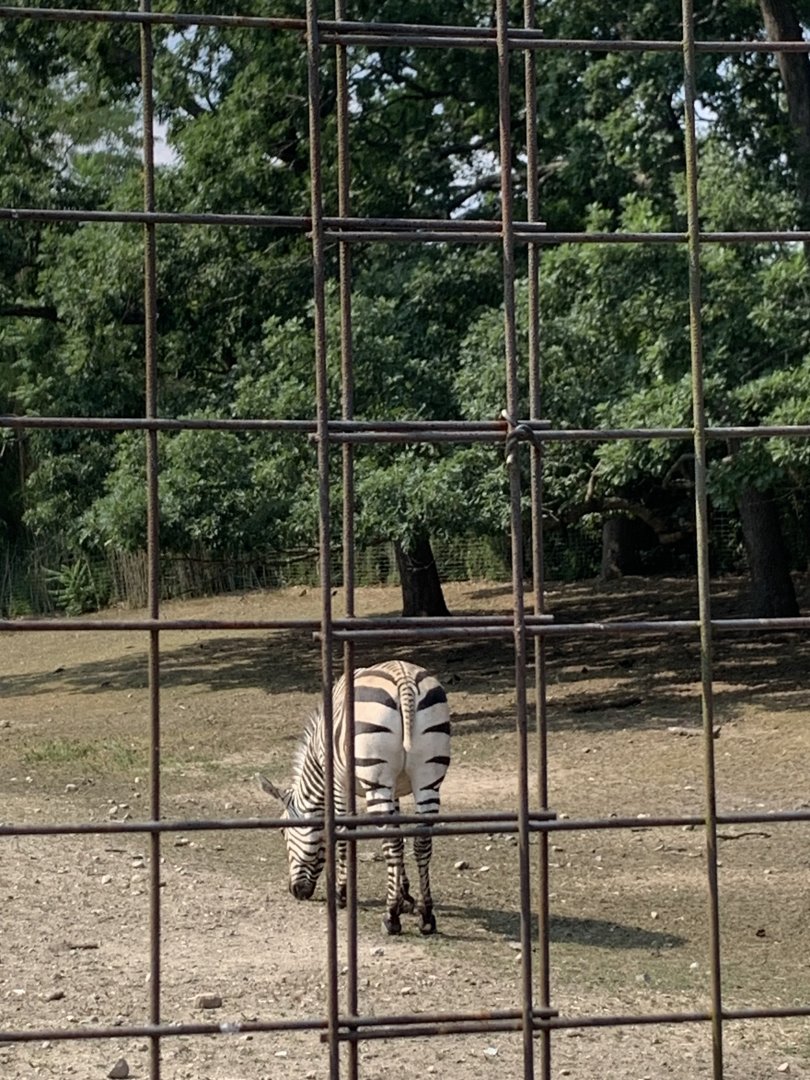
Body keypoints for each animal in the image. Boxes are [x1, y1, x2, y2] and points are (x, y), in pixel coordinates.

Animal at [257, 659, 451, 935]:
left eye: (282, 831)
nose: (295, 892)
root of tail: (403, 678)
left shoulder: (339, 784)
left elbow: (342, 835)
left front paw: (342, 894)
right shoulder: (394, 790)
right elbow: (401, 833)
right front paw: (405, 895)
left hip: (376, 776)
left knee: (391, 843)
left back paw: (390, 917)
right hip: (428, 778)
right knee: (422, 842)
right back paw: (426, 916)